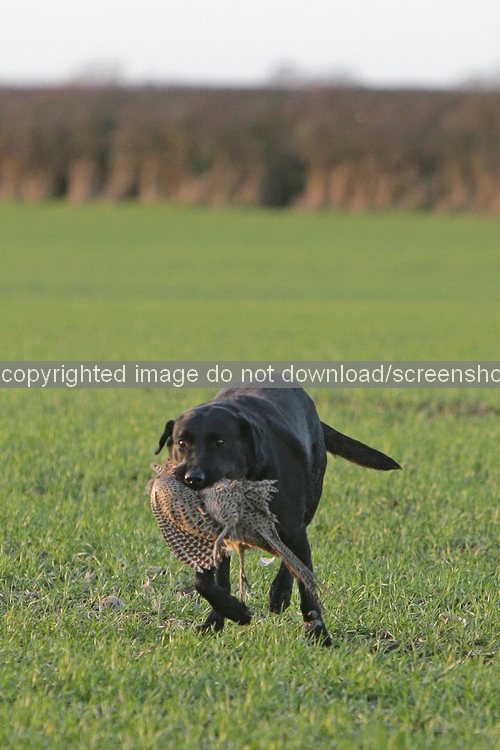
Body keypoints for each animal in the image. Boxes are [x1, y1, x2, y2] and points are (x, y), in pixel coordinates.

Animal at [155, 386, 400, 645]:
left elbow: (305, 582)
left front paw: (318, 633)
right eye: (182, 442)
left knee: (293, 560)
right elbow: (204, 582)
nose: (193, 478)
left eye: (220, 441)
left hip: (305, 510)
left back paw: (280, 594)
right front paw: (230, 612)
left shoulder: (293, 528)